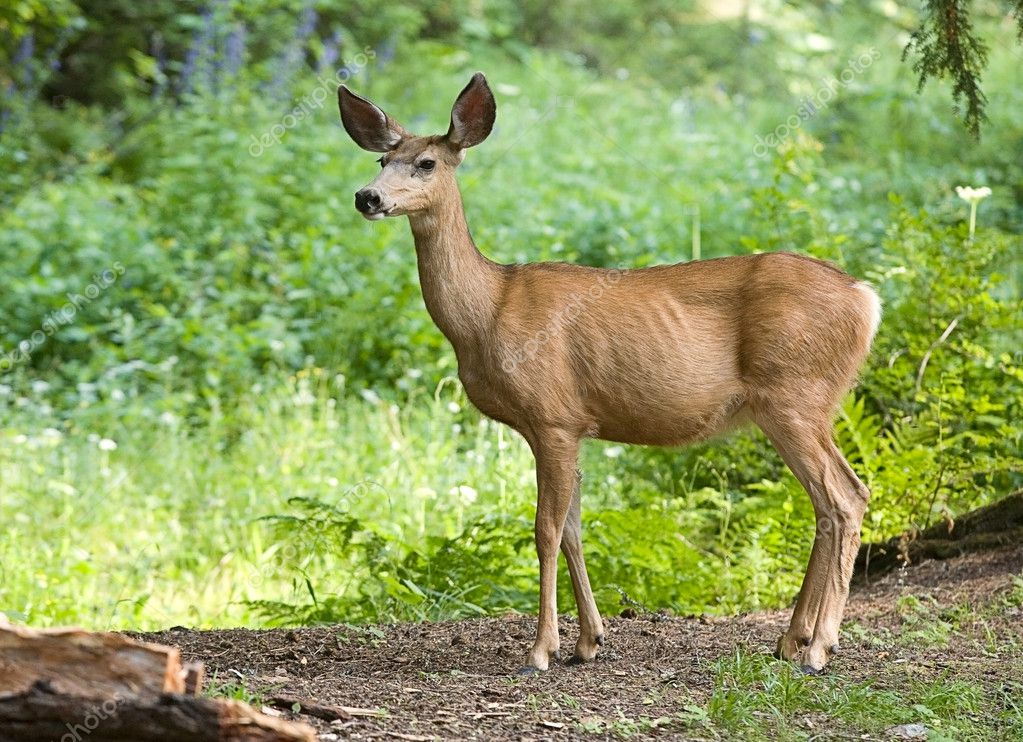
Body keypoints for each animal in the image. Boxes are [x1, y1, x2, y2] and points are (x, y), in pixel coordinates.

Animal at [337, 72, 881, 675]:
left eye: (426, 162)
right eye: (383, 158)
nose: (367, 196)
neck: (487, 314)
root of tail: (867, 298)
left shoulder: (552, 416)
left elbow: (545, 529)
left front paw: (540, 650)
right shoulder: (572, 425)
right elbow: (574, 529)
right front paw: (589, 641)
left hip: (796, 395)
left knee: (847, 496)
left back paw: (820, 648)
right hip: (793, 406)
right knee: (826, 504)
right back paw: (790, 640)